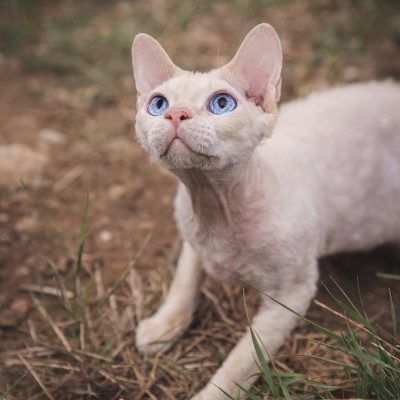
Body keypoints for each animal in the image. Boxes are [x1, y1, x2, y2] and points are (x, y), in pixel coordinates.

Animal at [131, 23, 400, 398]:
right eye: (158, 104)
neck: (215, 207)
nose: (175, 114)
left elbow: (243, 359)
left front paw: (213, 392)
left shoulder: (291, 293)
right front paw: (163, 325)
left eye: (222, 103)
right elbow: (183, 280)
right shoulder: (191, 233)